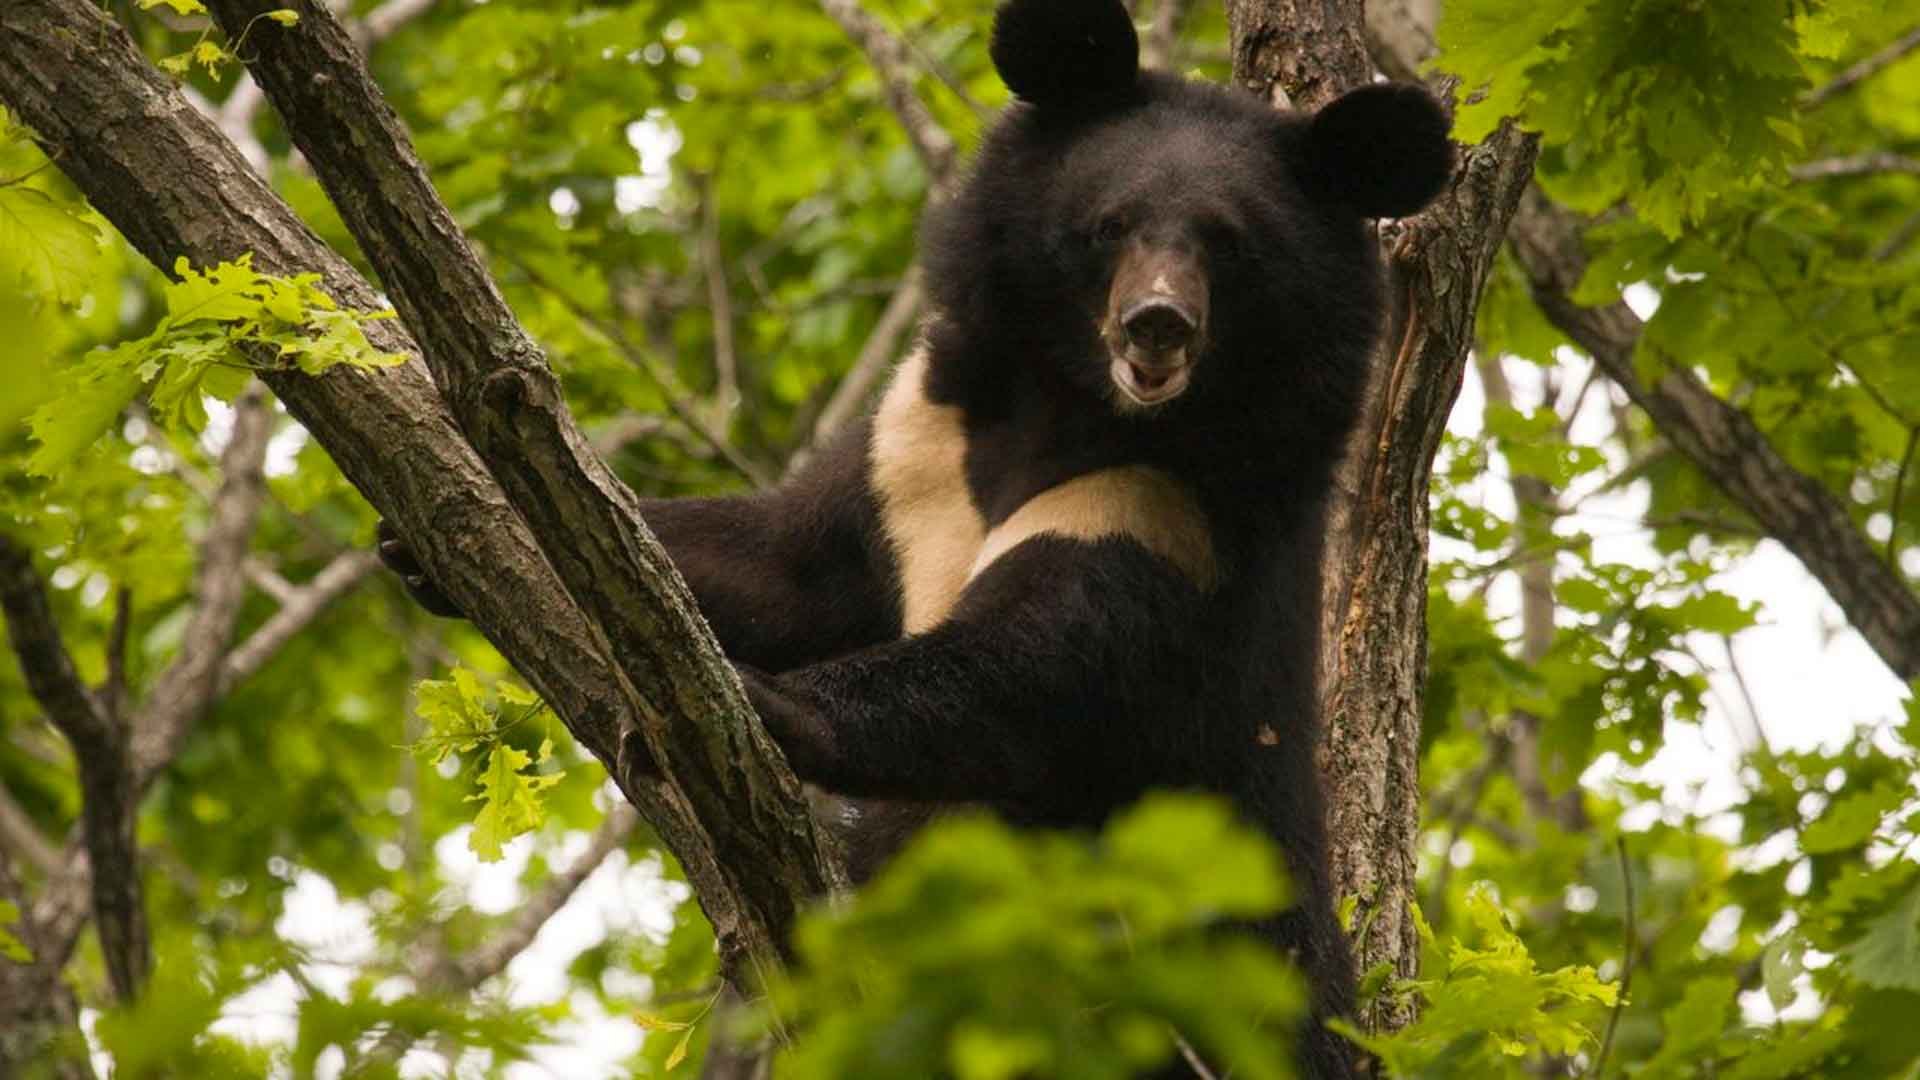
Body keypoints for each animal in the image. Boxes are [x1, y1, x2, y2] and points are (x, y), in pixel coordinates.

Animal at [382, 0, 1443, 1060]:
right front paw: (423, 541)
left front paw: (763, 705)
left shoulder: (1168, 518)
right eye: (1112, 225)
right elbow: (781, 568)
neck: (1081, 414)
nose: (1156, 325)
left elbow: (1029, 668)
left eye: (1228, 245)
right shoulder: (915, 443)